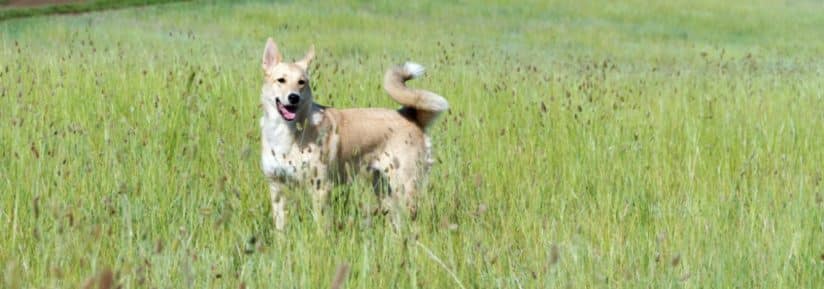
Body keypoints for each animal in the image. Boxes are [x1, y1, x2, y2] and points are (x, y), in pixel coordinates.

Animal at [260, 38, 448, 228]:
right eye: (281, 80)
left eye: (301, 82)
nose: (294, 97)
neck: (286, 132)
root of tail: (409, 115)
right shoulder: (276, 187)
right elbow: (280, 226)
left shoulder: (320, 187)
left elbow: (321, 227)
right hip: (384, 188)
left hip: (404, 186)